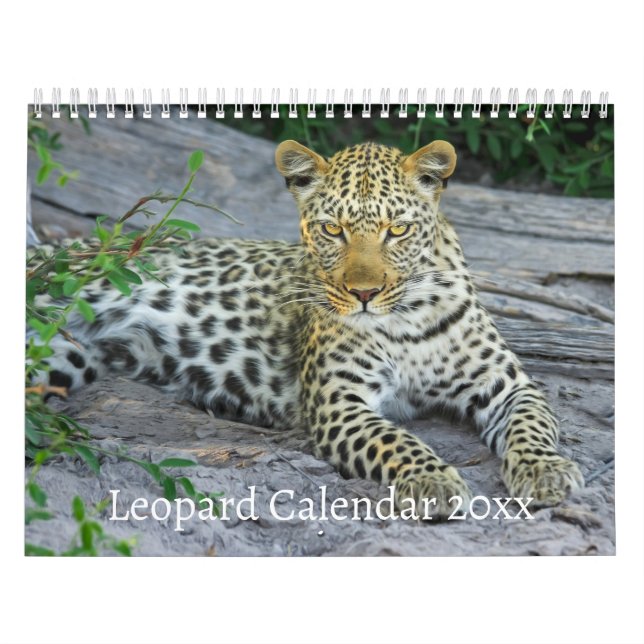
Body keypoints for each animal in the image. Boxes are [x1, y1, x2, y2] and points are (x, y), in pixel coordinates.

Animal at [33, 139, 584, 519]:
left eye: (398, 230)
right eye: (332, 230)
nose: (364, 294)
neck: (405, 317)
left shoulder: (508, 385)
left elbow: (532, 426)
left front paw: (546, 471)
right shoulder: (339, 403)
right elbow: (397, 440)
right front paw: (433, 482)